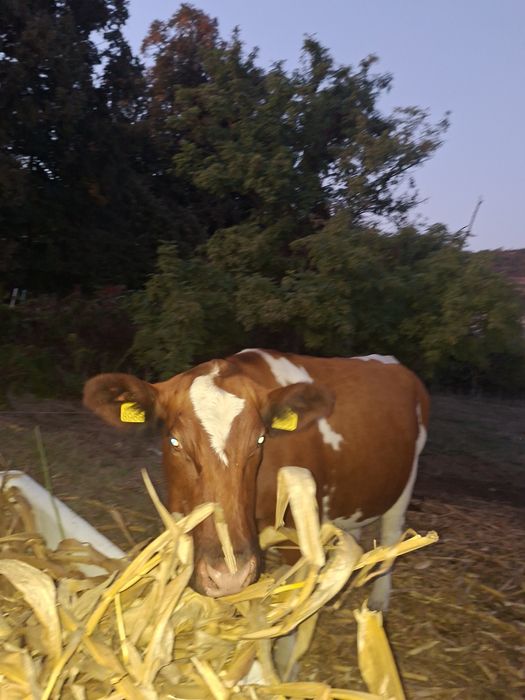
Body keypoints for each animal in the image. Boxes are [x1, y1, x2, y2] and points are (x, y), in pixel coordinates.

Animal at [83, 349, 429, 610]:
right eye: (174, 442)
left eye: (260, 440)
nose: (229, 576)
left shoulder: (296, 536)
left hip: (404, 484)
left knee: (391, 536)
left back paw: (379, 600)